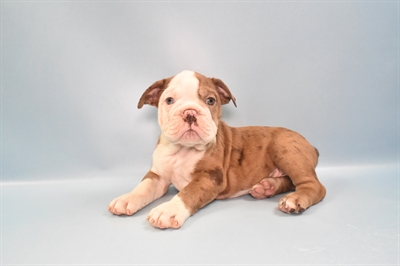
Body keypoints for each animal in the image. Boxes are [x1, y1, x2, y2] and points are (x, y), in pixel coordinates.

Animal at [108, 70, 326, 229]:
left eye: (210, 100)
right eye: (169, 100)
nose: (190, 113)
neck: (183, 149)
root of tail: (312, 146)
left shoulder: (209, 177)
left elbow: (187, 192)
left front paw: (168, 209)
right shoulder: (158, 176)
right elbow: (143, 187)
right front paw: (126, 198)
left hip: (284, 147)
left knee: (313, 185)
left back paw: (294, 199)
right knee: (290, 181)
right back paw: (267, 187)